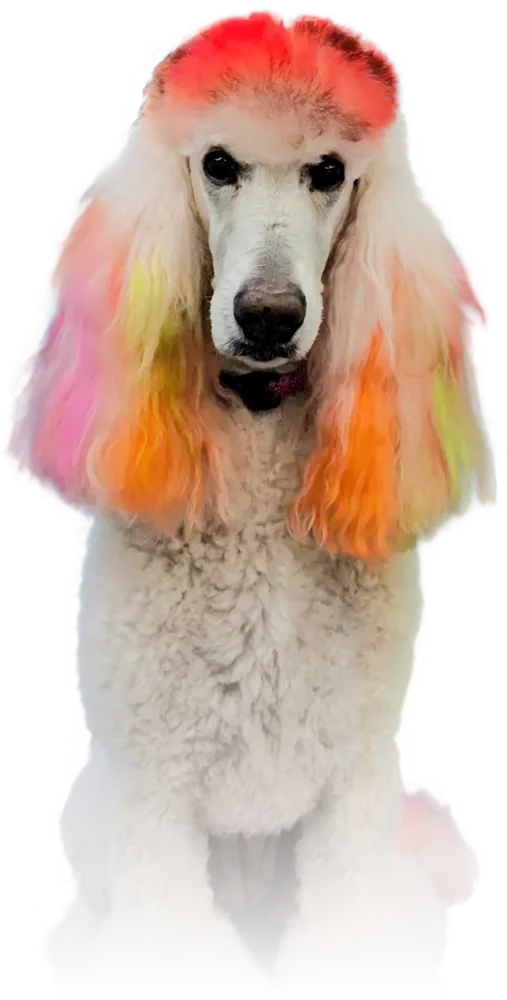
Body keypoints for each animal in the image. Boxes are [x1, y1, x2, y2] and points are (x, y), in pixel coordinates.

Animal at [4, 9, 496, 1000]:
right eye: (218, 163)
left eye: (329, 171)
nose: (268, 315)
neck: (260, 425)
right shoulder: (154, 798)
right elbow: (164, 942)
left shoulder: (353, 781)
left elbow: (351, 933)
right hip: (94, 820)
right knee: (85, 930)